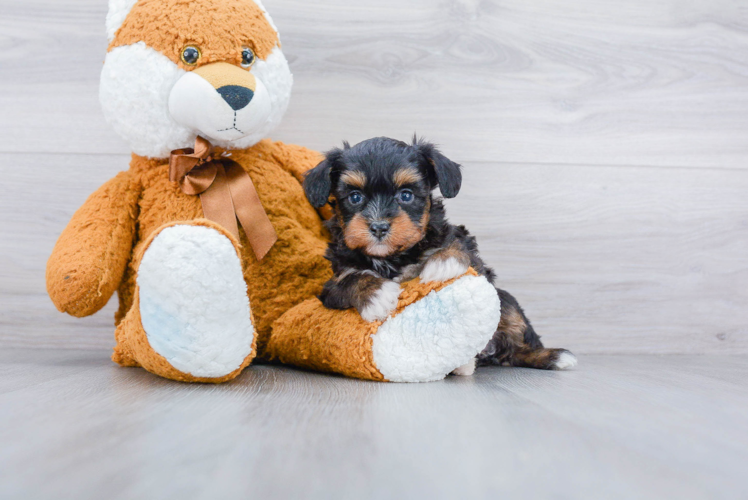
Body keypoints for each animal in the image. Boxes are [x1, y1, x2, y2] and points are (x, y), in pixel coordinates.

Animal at [304, 135, 580, 374]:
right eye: (354, 197)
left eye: (406, 195)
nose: (379, 226)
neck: (393, 257)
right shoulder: (333, 280)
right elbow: (348, 279)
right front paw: (375, 294)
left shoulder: (465, 245)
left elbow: (459, 243)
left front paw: (444, 261)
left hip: (506, 302)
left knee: (515, 345)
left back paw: (552, 357)